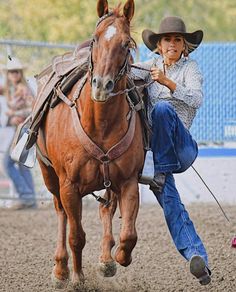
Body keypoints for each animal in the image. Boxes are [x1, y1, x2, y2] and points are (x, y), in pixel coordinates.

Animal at [37, 0, 144, 288]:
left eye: (126, 44)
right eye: (95, 39)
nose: (102, 85)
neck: (100, 124)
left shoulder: (128, 181)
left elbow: (129, 234)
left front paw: (117, 257)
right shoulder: (69, 186)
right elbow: (76, 235)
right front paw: (77, 278)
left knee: (106, 209)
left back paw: (106, 258)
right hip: (50, 176)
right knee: (62, 215)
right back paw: (61, 269)